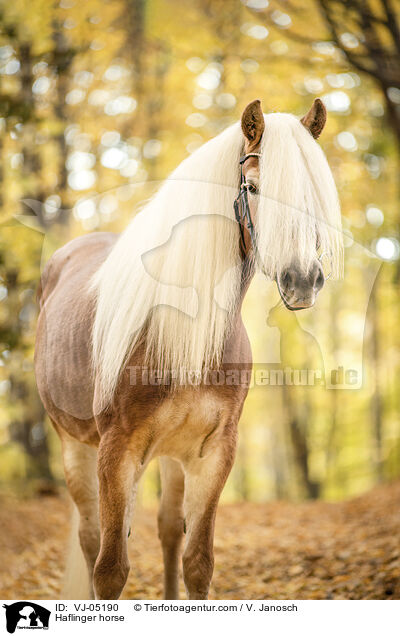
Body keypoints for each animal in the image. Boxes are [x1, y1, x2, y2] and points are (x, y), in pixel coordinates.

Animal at [34, 97, 342, 600]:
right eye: (252, 187)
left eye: (314, 193)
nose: (302, 280)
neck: (183, 329)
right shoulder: (116, 452)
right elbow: (109, 570)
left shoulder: (213, 453)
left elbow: (197, 562)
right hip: (74, 445)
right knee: (91, 536)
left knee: (165, 531)